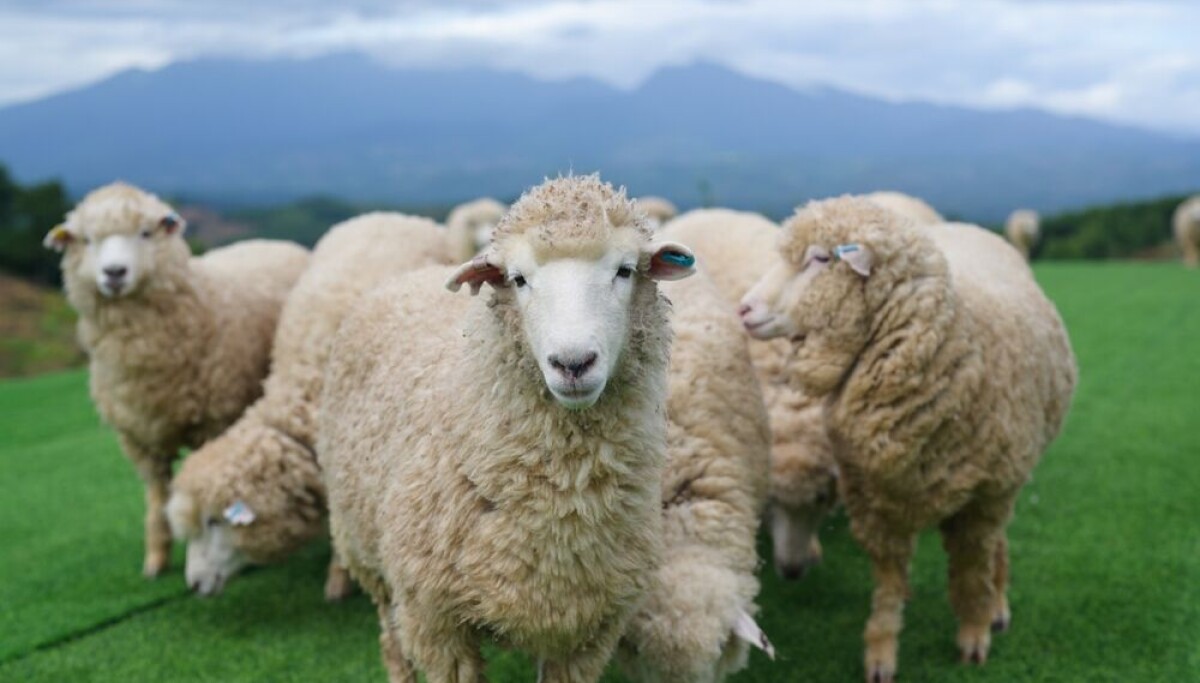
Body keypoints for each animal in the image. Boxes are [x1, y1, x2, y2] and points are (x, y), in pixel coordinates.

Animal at [43, 181, 309, 577]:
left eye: (145, 233)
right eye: (87, 240)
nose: (114, 272)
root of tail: (271, 240)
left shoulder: (213, 421)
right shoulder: (138, 438)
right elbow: (156, 496)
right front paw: (155, 559)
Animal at [320, 175, 698, 682]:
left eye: (625, 270)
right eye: (518, 279)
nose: (572, 363)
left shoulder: (587, 631)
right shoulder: (436, 623)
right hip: (366, 553)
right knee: (392, 638)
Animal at [738, 196, 1077, 682]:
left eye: (821, 259)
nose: (743, 309)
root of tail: (969, 226)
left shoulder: (983, 497)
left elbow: (971, 569)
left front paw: (974, 633)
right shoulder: (874, 501)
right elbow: (888, 581)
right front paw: (882, 649)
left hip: (1007, 477)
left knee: (997, 543)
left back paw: (997, 604)